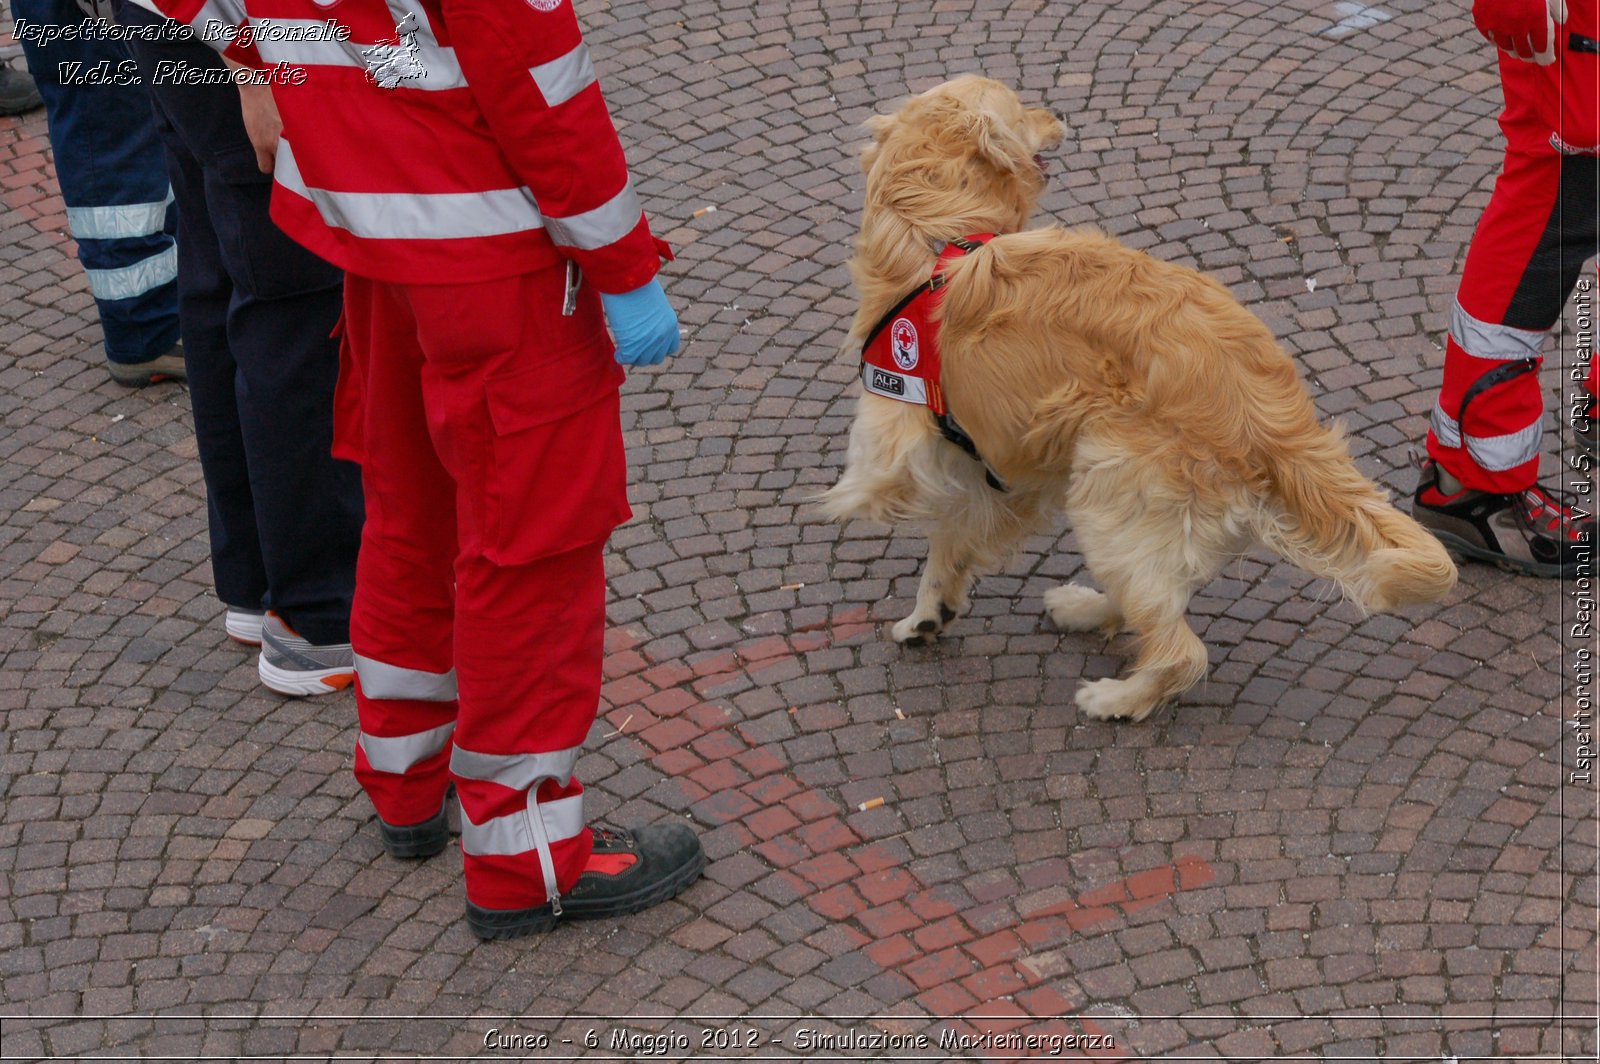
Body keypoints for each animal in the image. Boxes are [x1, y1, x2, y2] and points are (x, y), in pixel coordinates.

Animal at [819, 76, 1459, 723]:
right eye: (1023, 109)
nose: (1056, 113)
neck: (938, 225)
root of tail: (1273, 422)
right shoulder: (1003, 472)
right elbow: (952, 544)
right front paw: (932, 614)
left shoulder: (903, 444)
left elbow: (908, 511)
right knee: (1158, 599)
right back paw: (1083, 608)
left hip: (1107, 487)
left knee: (1181, 649)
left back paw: (1117, 698)